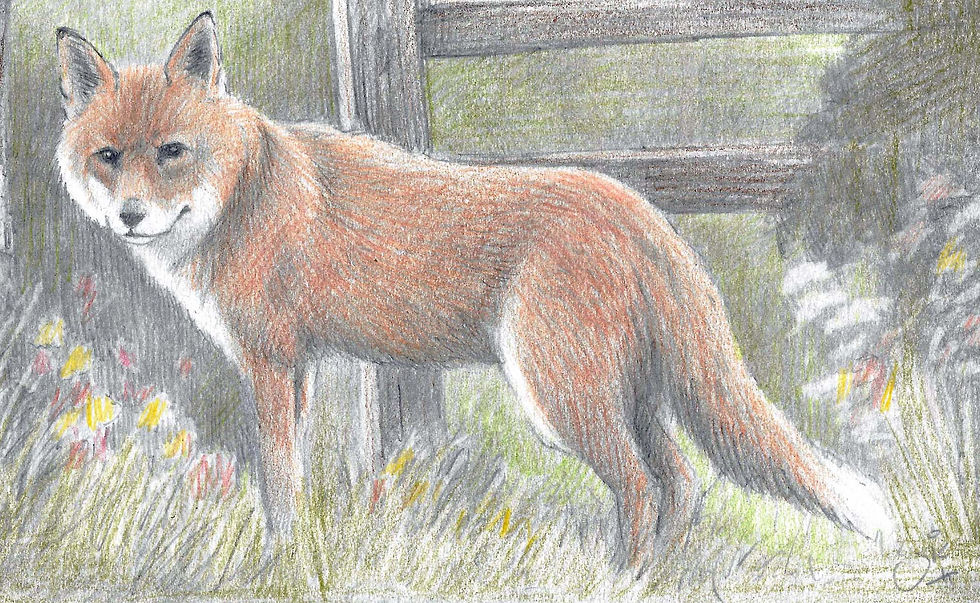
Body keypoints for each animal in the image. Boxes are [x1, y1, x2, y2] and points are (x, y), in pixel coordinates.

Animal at [55, 12, 894, 565]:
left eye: (172, 151)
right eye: (108, 156)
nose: (130, 217)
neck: (244, 193)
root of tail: (638, 206)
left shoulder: (269, 362)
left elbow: (278, 478)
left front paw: (279, 558)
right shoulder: (296, 369)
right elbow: (291, 474)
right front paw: (295, 549)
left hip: (559, 394)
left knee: (641, 488)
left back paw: (615, 580)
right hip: (627, 392)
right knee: (683, 484)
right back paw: (655, 580)